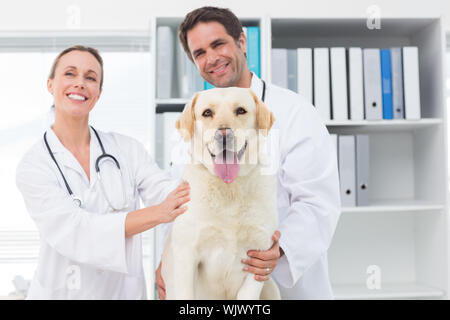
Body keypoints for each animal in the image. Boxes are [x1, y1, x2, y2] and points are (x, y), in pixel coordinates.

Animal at [162, 87, 280, 300]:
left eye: (241, 110)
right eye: (207, 113)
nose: (224, 134)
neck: (229, 188)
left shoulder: (259, 257)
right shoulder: (186, 255)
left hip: (271, 288)